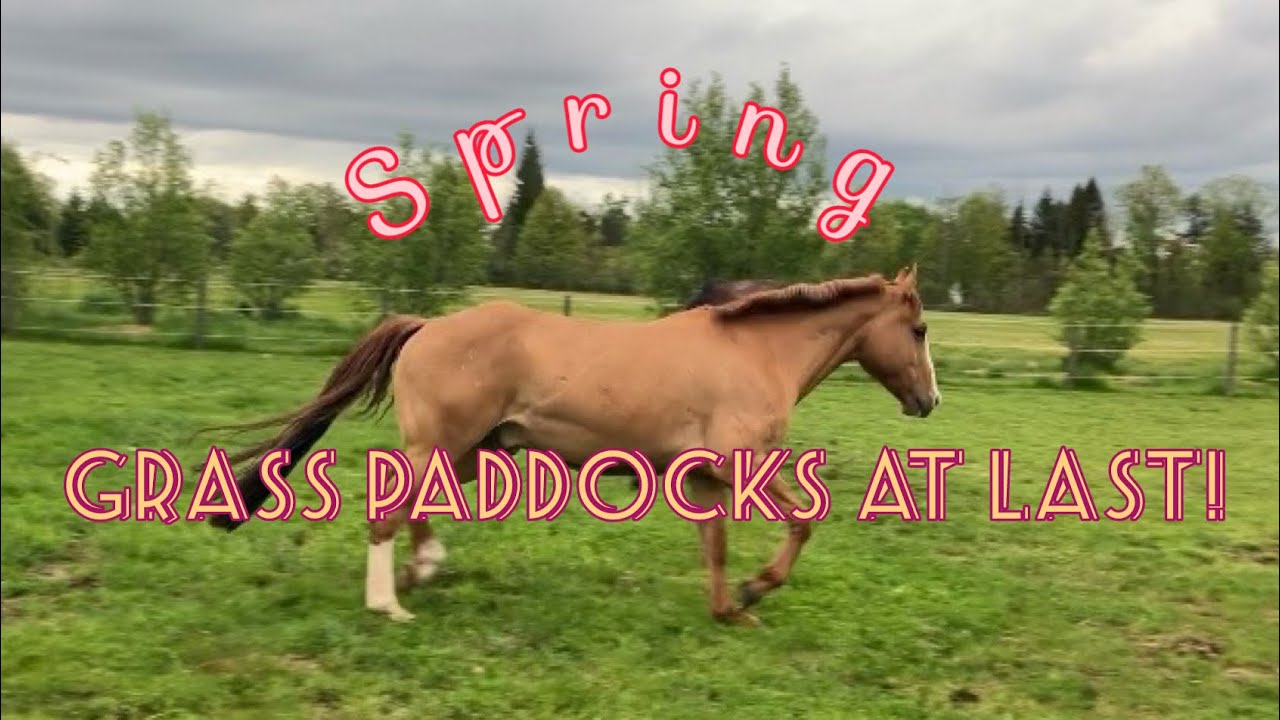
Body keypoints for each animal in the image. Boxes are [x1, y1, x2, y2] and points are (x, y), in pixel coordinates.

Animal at [202, 266, 941, 626]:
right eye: (920, 329)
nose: (929, 401)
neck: (754, 352)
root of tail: (425, 326)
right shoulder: (745, 465)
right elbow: (805, 521)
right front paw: (758, 590)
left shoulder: (704, 478)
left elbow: (715, 546)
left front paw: (729, 609)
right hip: (443, 446)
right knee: (387, 512)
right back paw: (391, 603)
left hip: (471, 452)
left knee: (417, 510)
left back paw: (424, 568)